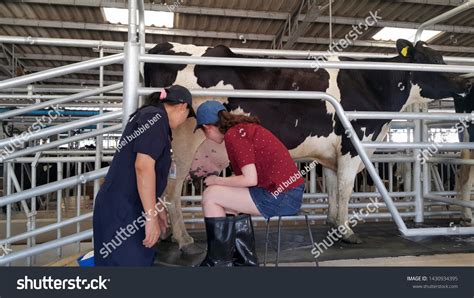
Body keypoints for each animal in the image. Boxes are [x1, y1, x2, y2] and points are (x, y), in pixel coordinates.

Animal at [143, 39, 466, 249]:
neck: (373, 84)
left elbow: (334, 190)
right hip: (184, 140)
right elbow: (346, 189)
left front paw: (333, 225)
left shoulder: (332, 155)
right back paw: (182, 238)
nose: (464, 83)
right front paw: (347, 231)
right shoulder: (353, 145)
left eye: (441, 57)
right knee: (171, 189)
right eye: (429, 60)